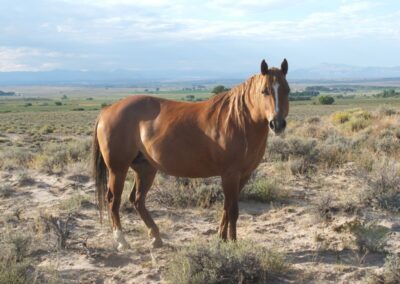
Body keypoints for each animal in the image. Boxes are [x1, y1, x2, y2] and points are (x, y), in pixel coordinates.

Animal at [92, 58, 290, 250]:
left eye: (287, 90)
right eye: (264, 91)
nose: (277, 124)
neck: (237, 121)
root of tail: (107, 110)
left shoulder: (243, 175)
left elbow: (227, 208)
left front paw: (221, 239)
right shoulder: (230, 175)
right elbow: (233, 210)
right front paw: (233, 243)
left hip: (145, 168)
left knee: (137, 200)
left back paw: (156, 238)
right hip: (118, 169)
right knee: (113, 200)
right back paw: (122, 241)